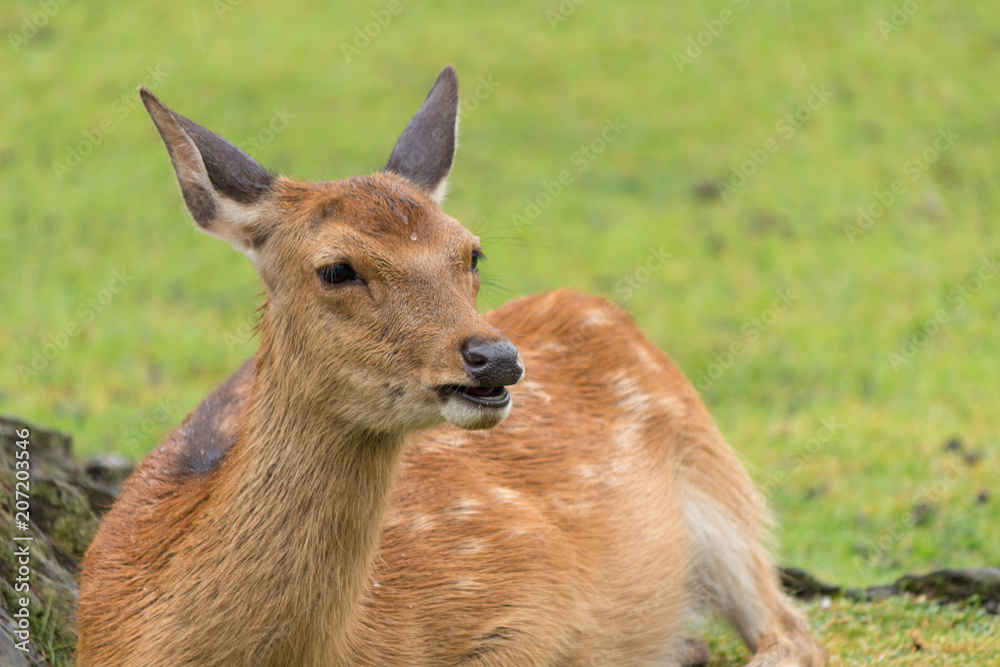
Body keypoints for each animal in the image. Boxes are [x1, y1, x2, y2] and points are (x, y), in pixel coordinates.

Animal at [76, 66, 826, 666]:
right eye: (336, 268)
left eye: (472, 252)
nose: (496, 356)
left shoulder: (536, 591)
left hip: (722, 485)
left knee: (792, 630)